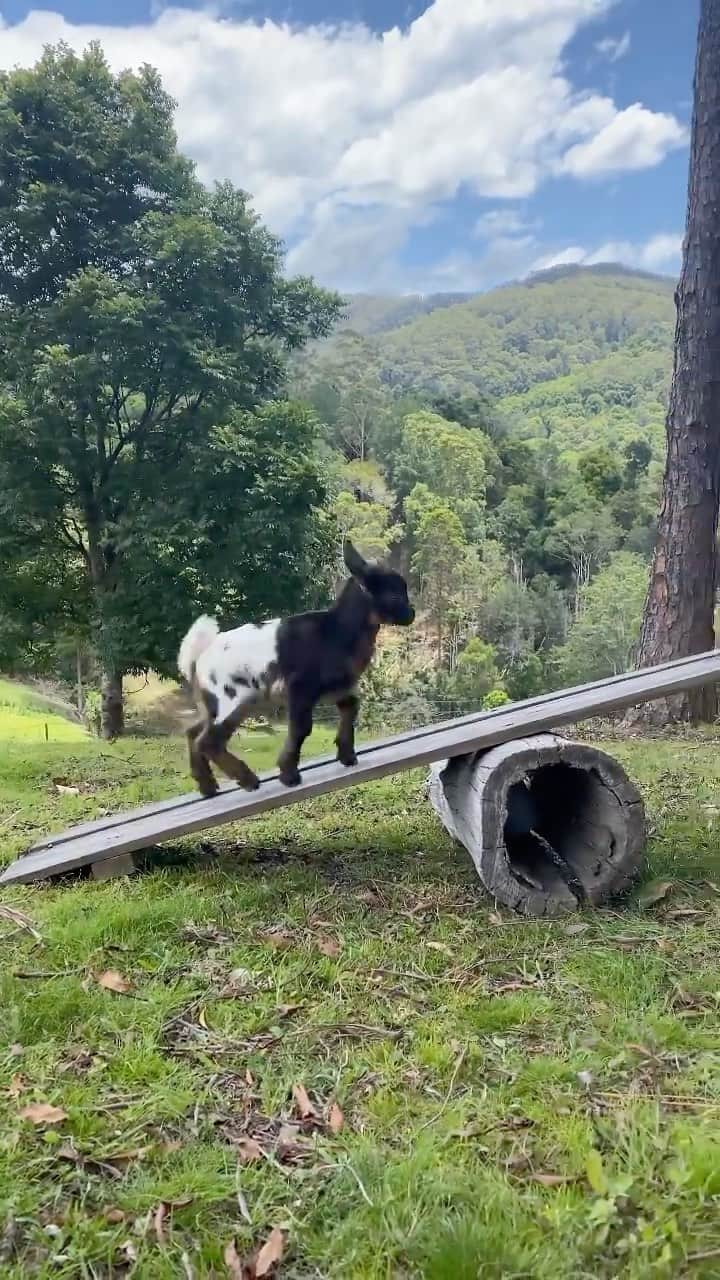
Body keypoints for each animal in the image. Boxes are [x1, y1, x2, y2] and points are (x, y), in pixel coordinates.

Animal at [175, 540, 412, 798]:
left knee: (193, 732)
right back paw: (247, 780)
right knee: (208, 741)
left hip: (216, 703)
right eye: (393, 594)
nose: (411, 614)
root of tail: (199, 656)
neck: (337, 631)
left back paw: (207, 786)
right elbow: (301, 728)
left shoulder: (339, 686)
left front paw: (347, 756)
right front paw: (289, 775)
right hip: (232, 699)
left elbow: (350, 710)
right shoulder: (301, 687)